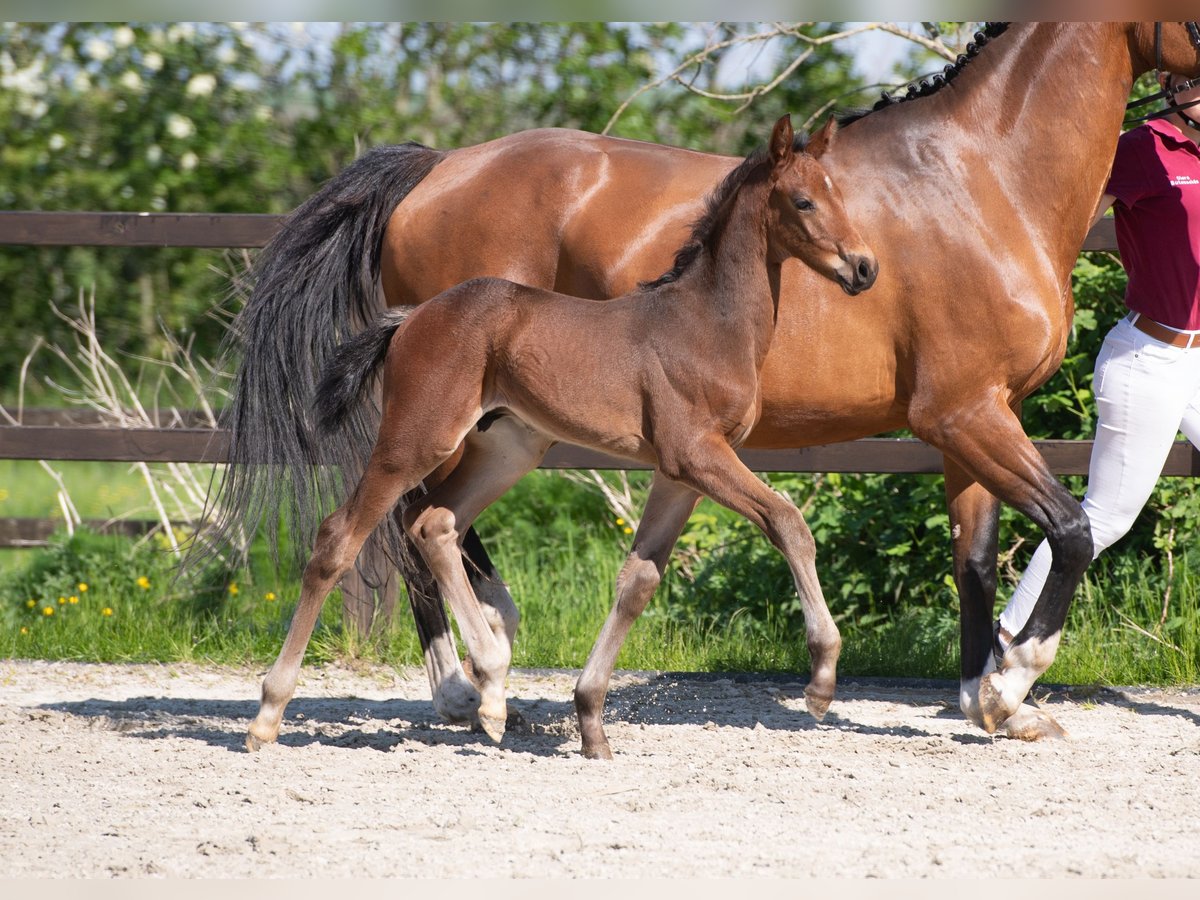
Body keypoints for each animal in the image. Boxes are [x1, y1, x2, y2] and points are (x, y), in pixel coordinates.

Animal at [220, 22, 1200, 748]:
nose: (863, 270)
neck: (981, 175)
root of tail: (434, 168)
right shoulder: (962, 412)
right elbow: (1070, 531)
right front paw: (1011, 679)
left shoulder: (975, 418)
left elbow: (975, 559)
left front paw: (987, 699)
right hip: (447, 420)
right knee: (400, 521)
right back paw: (466, 685)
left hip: (505, 428)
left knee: (431, 522)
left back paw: (491, 663)